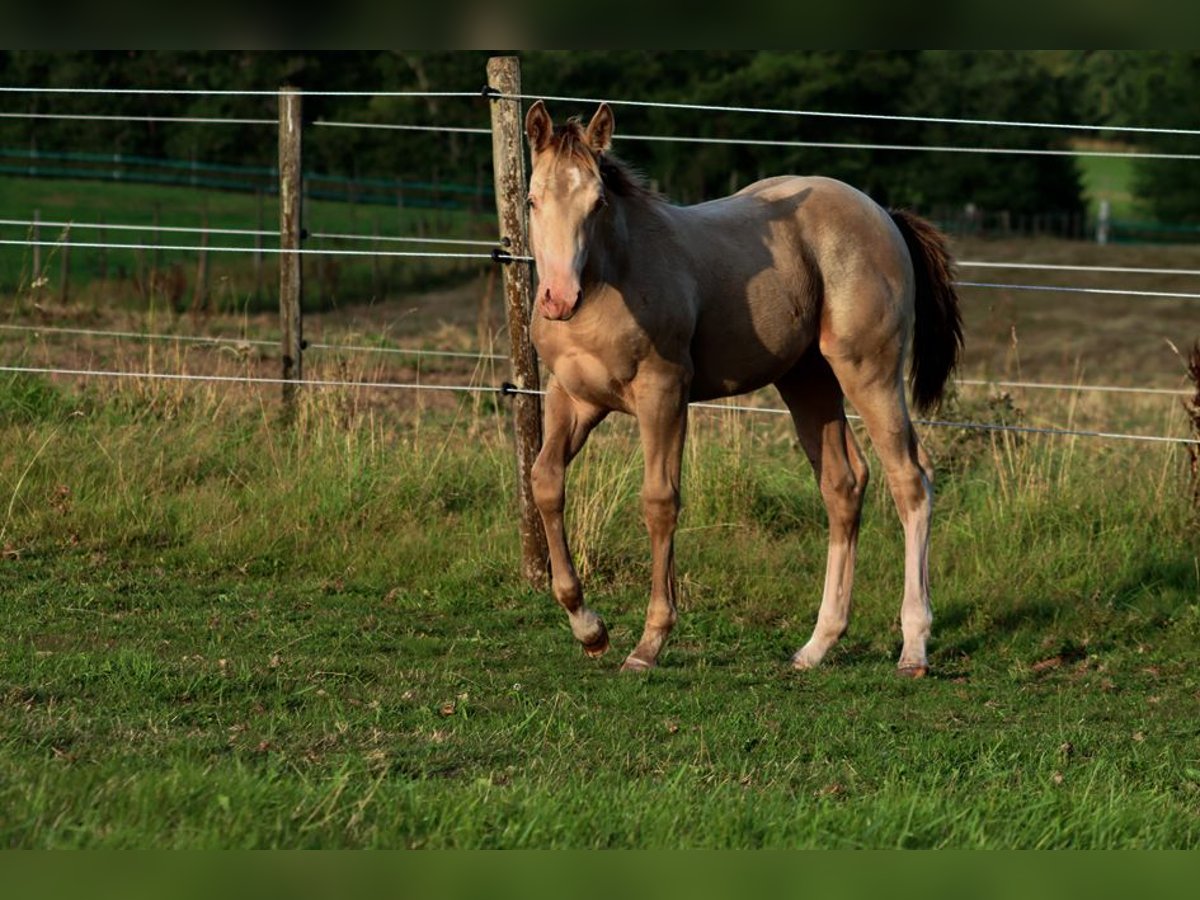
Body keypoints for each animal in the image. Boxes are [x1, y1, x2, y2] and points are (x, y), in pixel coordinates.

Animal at [523, 100, 962, 677]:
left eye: (597, 202)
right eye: (531, 200)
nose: (557, 297)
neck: (611, 279)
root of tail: (883, 214)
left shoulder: (664, 393)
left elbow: (659, 501)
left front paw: (649, 643)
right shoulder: (572, 398)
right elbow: (545, 482)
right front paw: (590, 629)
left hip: (869, 370)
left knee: (911, 479)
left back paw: (913, 647)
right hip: (807, 379)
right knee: (844, 484)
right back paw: (816, 646)